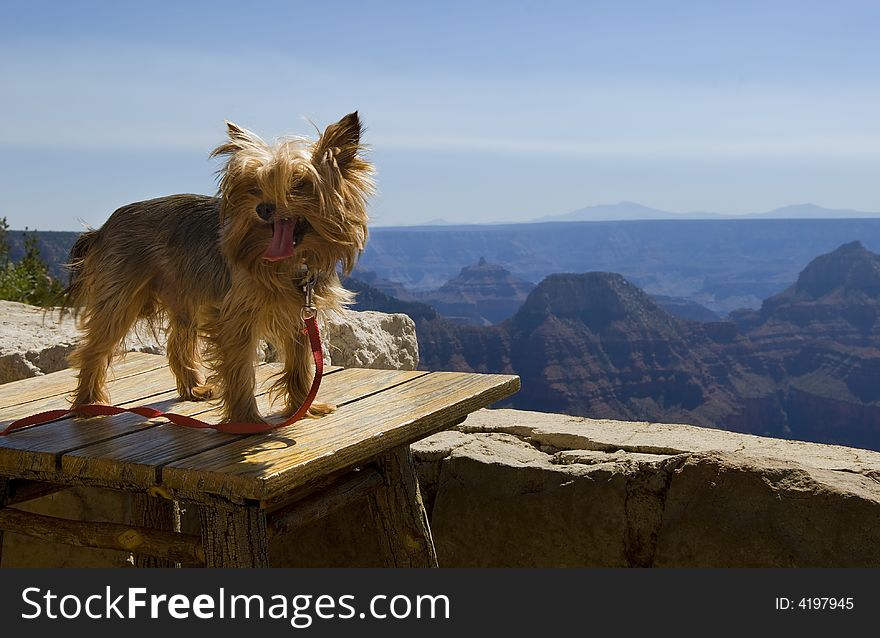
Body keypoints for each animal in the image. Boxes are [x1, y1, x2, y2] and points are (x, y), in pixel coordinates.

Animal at [62, 113, 372, 428]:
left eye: (298, 184)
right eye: (253, 186)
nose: (263, 208)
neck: (292, 264)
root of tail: (103, 228)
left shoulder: (300, 314)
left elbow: (299, 363)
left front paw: (304, 406)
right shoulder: (236, 316)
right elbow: (240, 369)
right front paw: (247, 421)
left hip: (183, 294)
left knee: (177, 342)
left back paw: (192, 388)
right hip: (122, 294)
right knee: (95, 347)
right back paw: (89, 403)